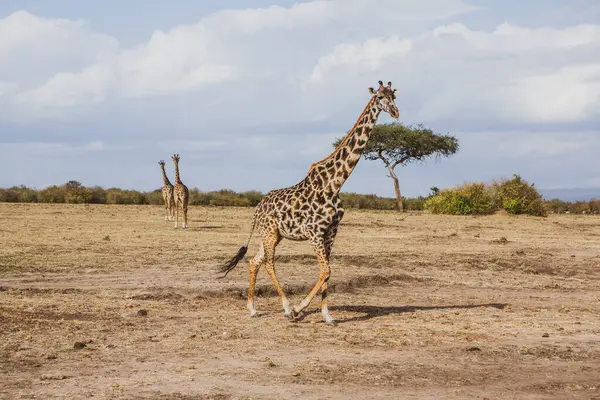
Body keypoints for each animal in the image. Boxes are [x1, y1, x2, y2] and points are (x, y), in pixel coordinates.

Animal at [218, 79, 400, 324]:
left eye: (394, 96)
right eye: (379, 97)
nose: (396, 112)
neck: (335, 183)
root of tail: (257, 209)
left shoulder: (331, 232)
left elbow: (327, 272)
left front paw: (327, 315)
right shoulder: (314, 232)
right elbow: (326, 271)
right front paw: (299, 309)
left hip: (273, 234)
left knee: (255, 261)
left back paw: (253, 308)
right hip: (269, 232)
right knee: (268, 262)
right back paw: (286, 308)